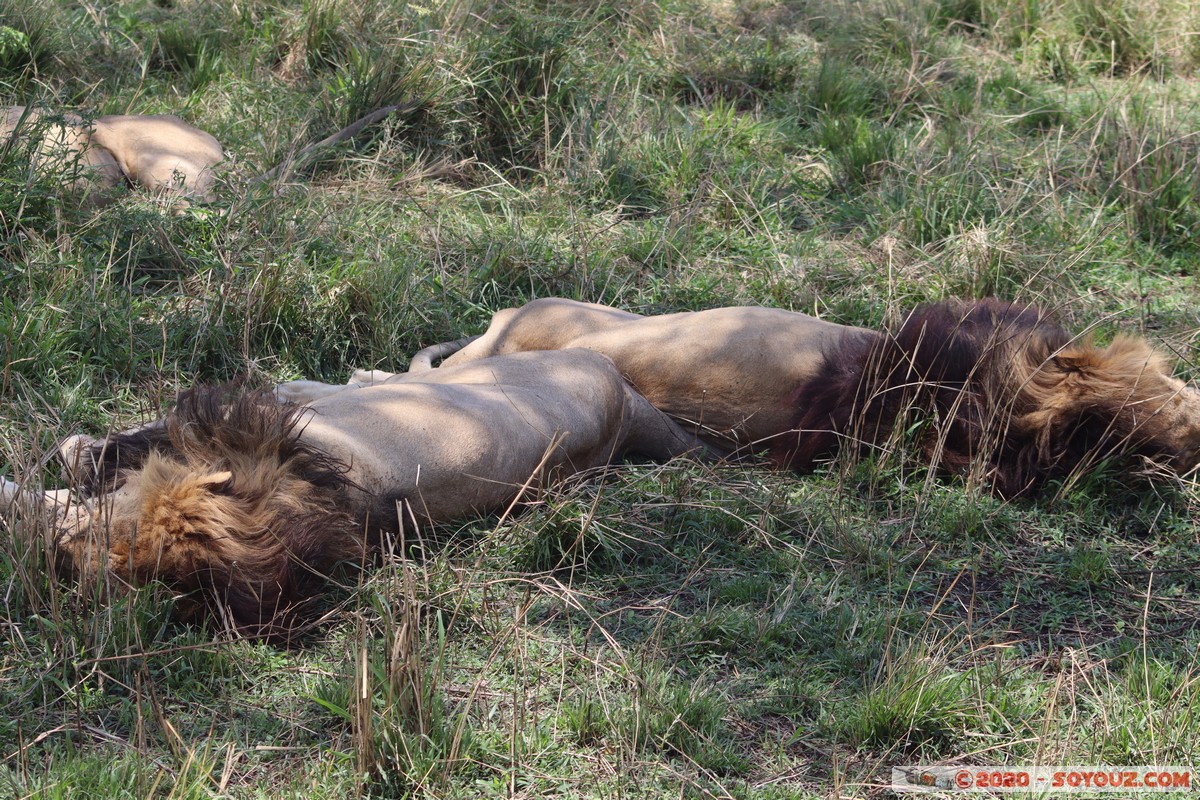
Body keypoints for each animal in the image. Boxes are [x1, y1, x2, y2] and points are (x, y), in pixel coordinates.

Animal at [0, 350, 705, 638]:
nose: (54, 551)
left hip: (465, 376)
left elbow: (111, 451)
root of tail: (624, 401)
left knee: (375, 377)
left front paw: (67, 459)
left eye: (82, 537)